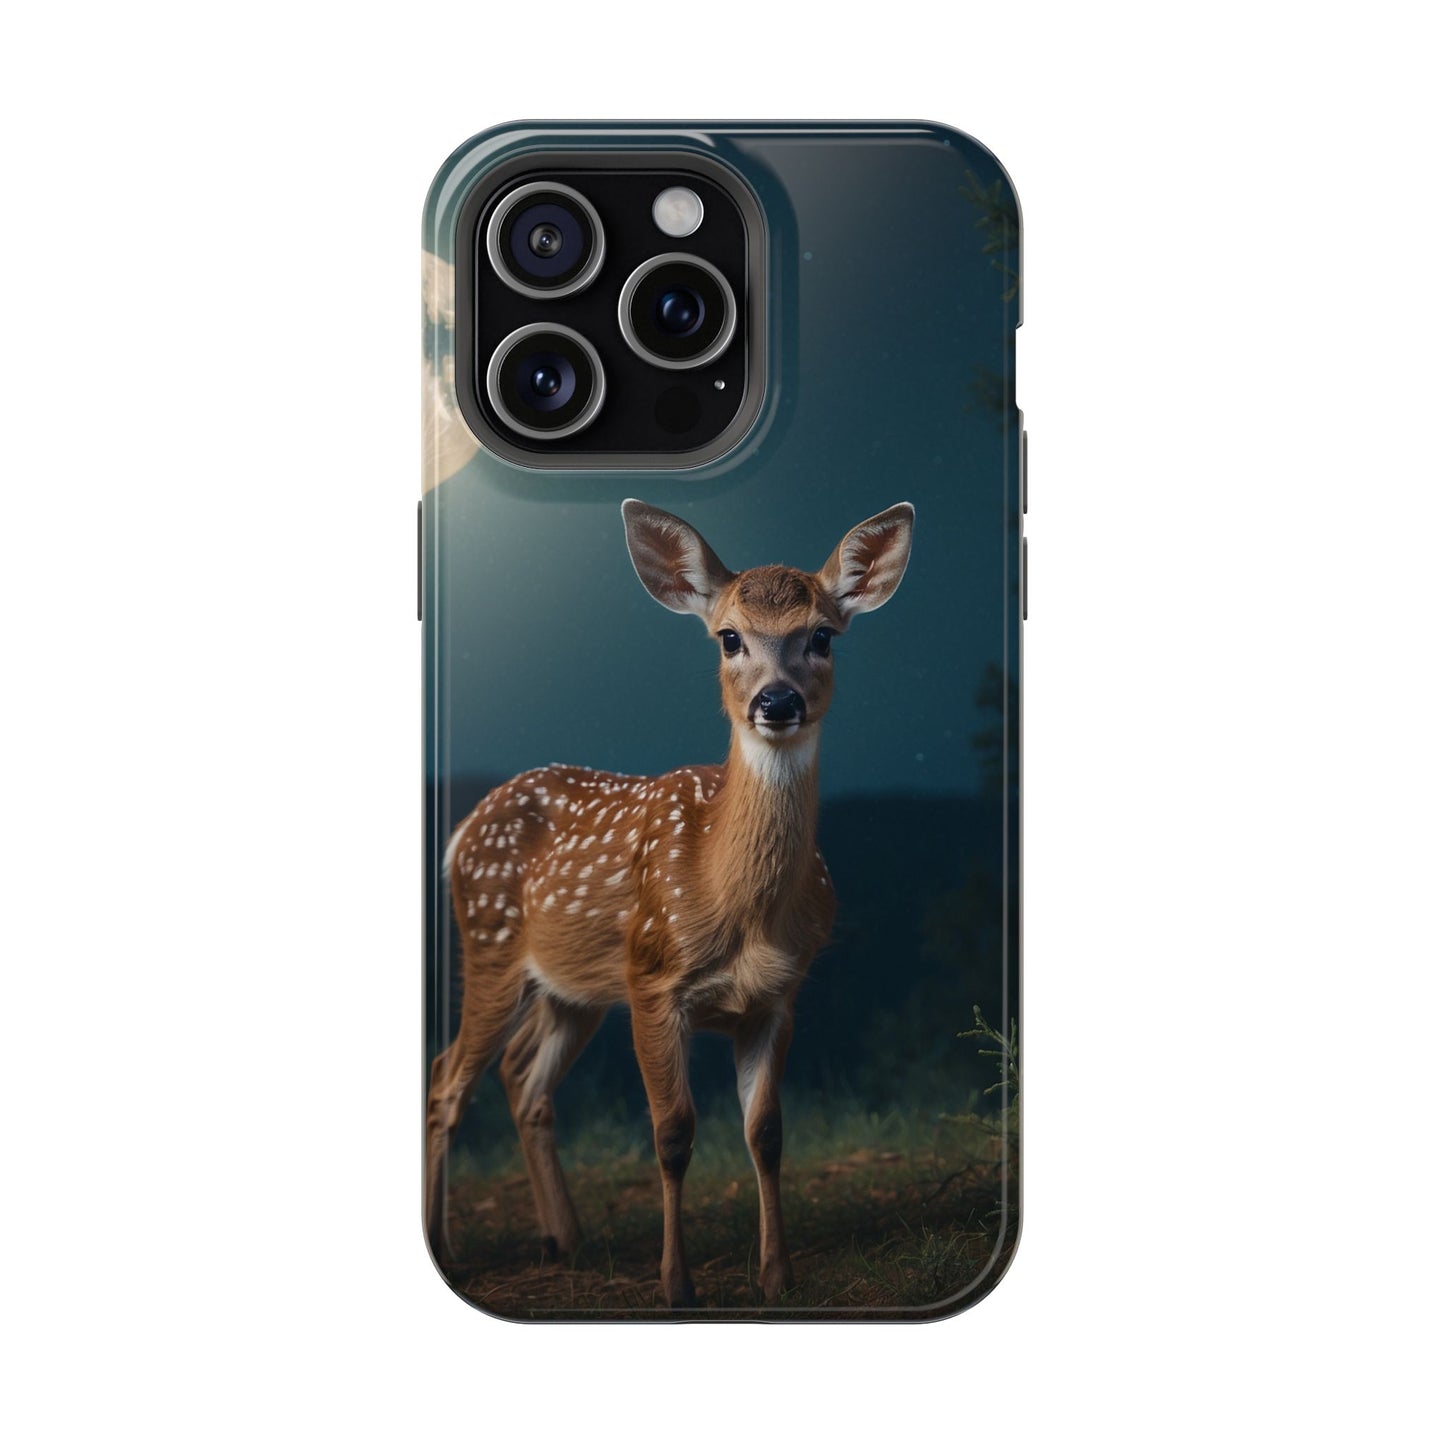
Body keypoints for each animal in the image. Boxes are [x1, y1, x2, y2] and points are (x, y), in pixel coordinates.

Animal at [425, 498, 914, 1306]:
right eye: (728, 636)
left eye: (821, 636)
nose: (776, 701)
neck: (735, 905)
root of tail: (464, 829)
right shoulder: (654, 980)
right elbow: (673, 1132)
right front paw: (675, 1284)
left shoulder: (778, 996)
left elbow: (766, 1132)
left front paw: (777, 1276)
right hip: (491, 944)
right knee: (447, 1077)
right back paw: (449, 1250)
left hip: (575, 988)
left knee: (522, 1078)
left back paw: (565, 1240)